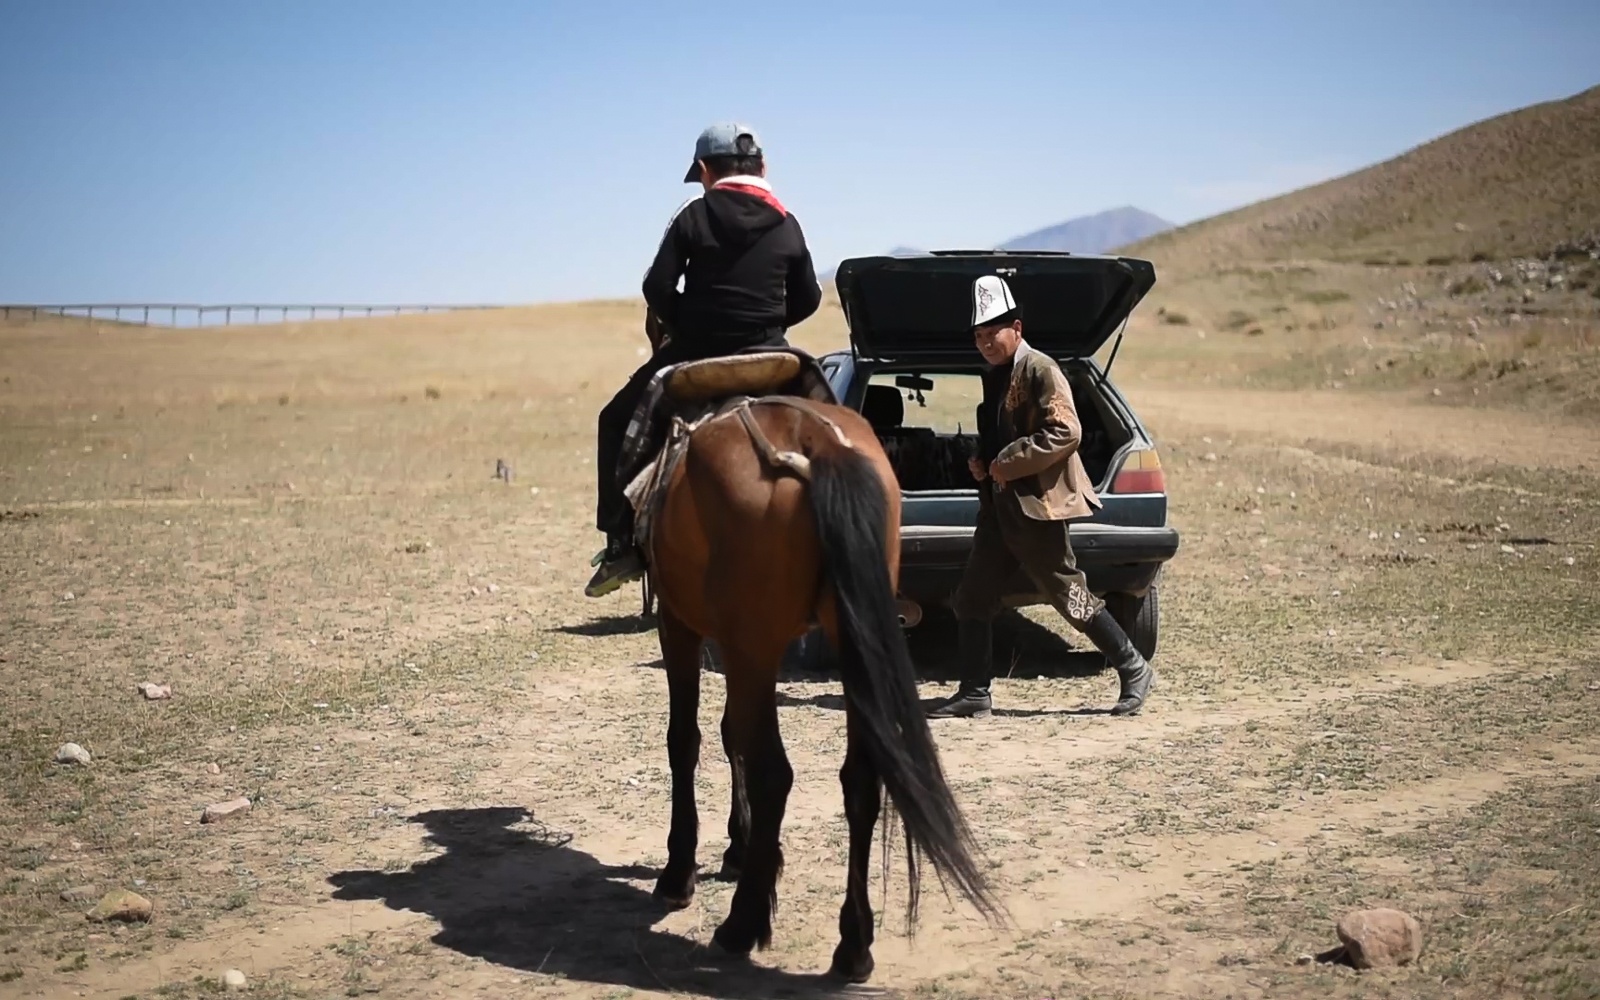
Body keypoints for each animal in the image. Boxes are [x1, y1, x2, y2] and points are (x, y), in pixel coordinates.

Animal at [640, 384, 998, 985]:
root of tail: (815, 444)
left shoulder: (682, 625)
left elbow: (686, 741)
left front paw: (679, 872)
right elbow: (730, 735)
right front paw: (740, 848)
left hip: (754, 645)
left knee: (775, 773)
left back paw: (741, 926)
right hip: (849, 641)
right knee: (860, 781)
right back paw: (853, 946)